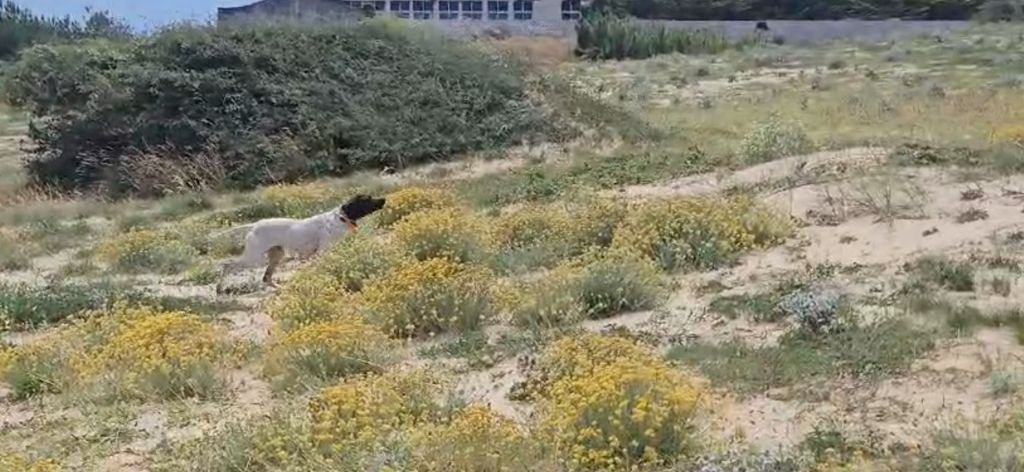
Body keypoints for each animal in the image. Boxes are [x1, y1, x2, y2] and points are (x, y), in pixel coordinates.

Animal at [216, 192, 387, 290]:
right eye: (367, 199)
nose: (384, 199)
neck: (341, 218)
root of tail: (255, 225)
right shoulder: (323, 251)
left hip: (277, 255)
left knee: (266, 278)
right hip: (254, 259)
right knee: (227, 266)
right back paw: (219, 289)